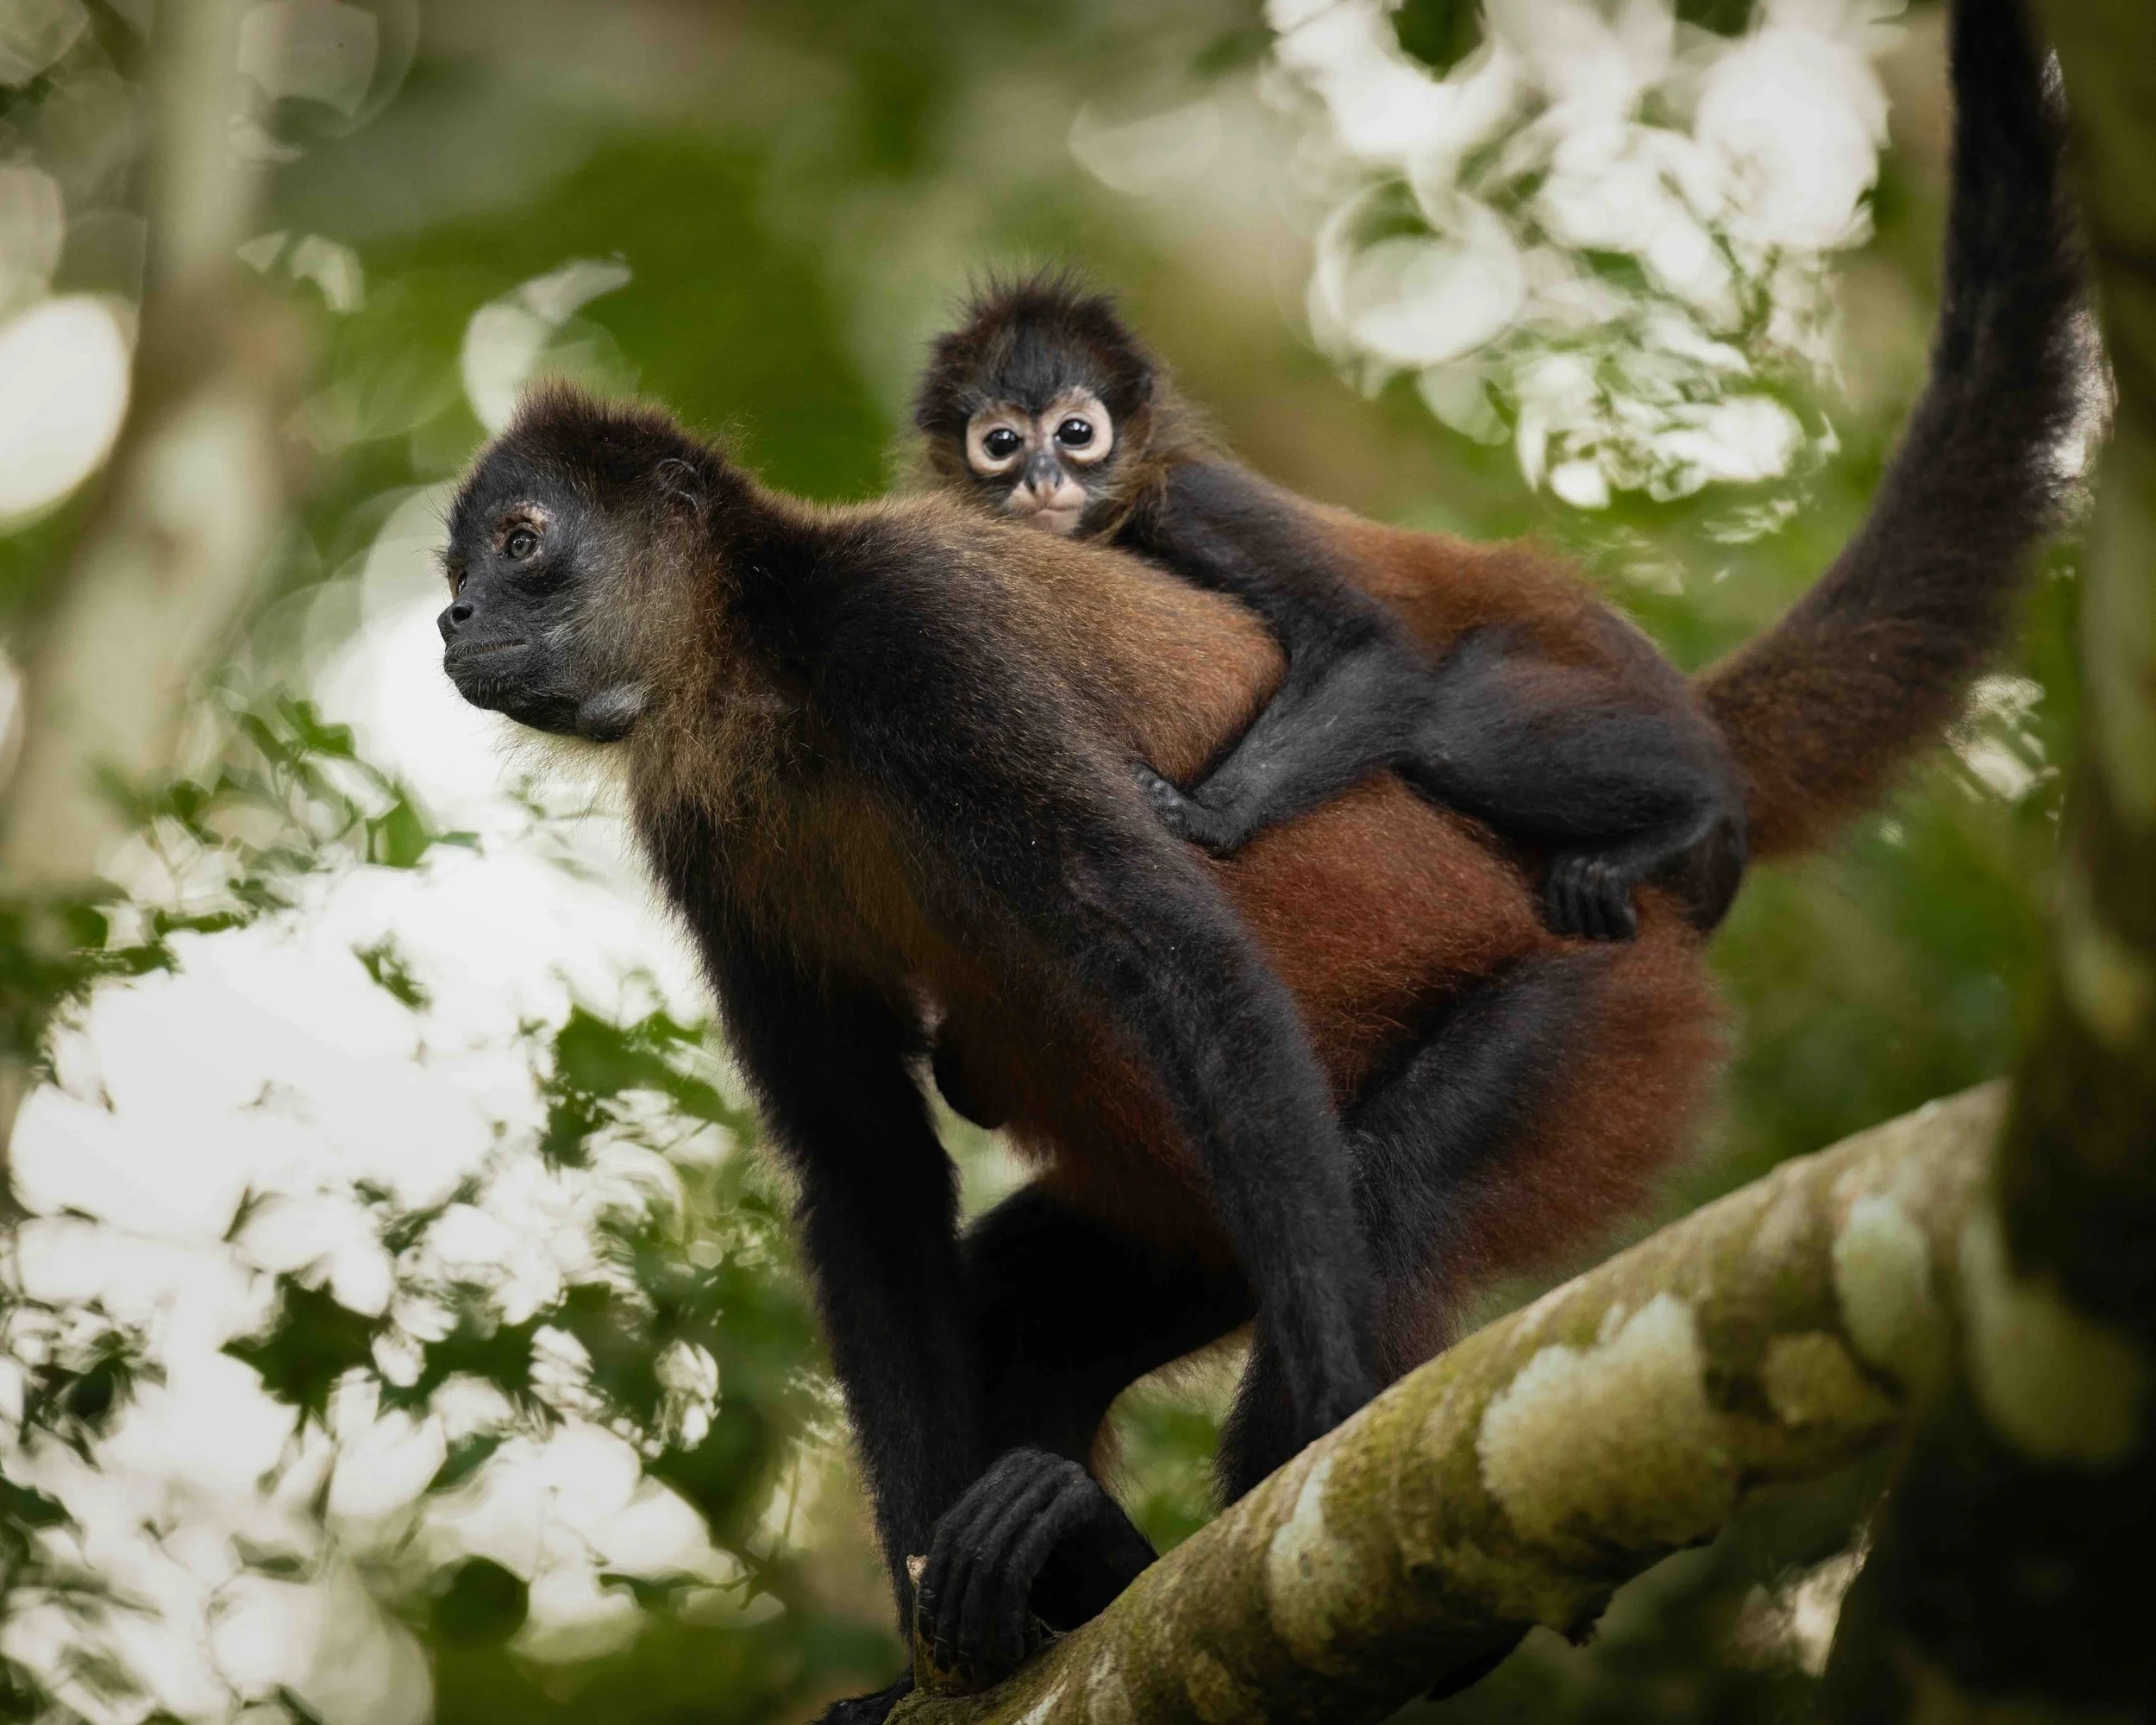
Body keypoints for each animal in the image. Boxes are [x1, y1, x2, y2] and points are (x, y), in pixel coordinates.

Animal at [437, 3, 2076, 1715]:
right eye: (463, 562)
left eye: (523, 546)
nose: (451, 620)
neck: (760, 674)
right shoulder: (707, 824)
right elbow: (865, 1168)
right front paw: (926, 1648)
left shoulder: (907, 636)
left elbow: (1174, 950)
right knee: (1028, 1297)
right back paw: (1070, 1565)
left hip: (1606, 1028)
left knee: (1391, 1186)